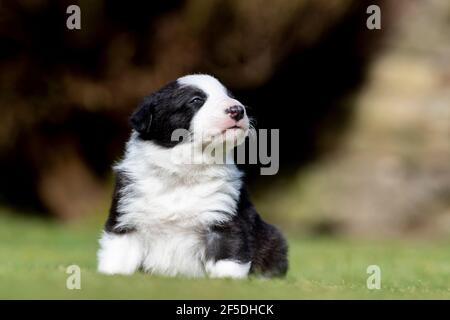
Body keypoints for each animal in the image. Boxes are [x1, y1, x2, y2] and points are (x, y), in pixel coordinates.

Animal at [98, 74, 288, 278]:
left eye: (230, 96)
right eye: (196, 100)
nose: (237, 110)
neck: (186, 171)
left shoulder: (223, 219)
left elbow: (228, 258)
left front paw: (227, 281)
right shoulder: (127, 217)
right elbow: (117, 257)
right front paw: (111, 276)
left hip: (273, 239)